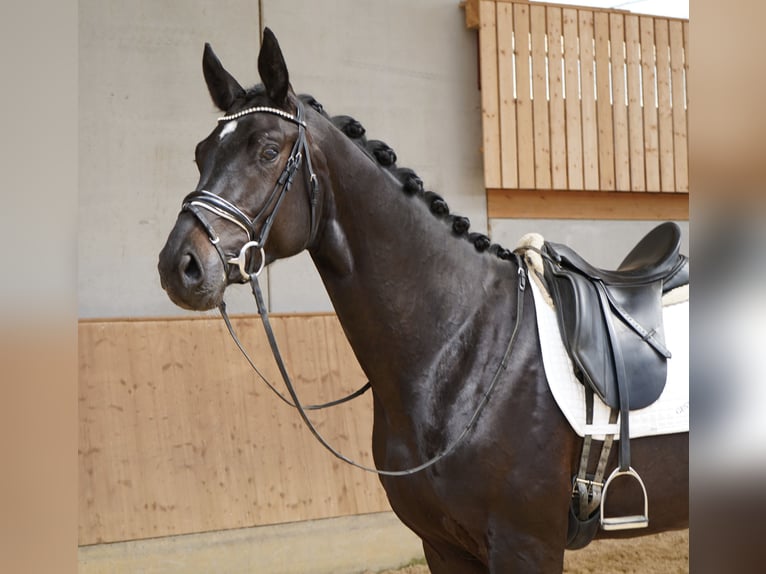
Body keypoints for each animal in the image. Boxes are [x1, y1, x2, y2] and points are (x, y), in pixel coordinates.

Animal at [156, 29, 688, 572]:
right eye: (201, 154)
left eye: (267, 150)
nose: (180, 265)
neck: (461, 349)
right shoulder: (443, 546)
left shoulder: (526, 547)